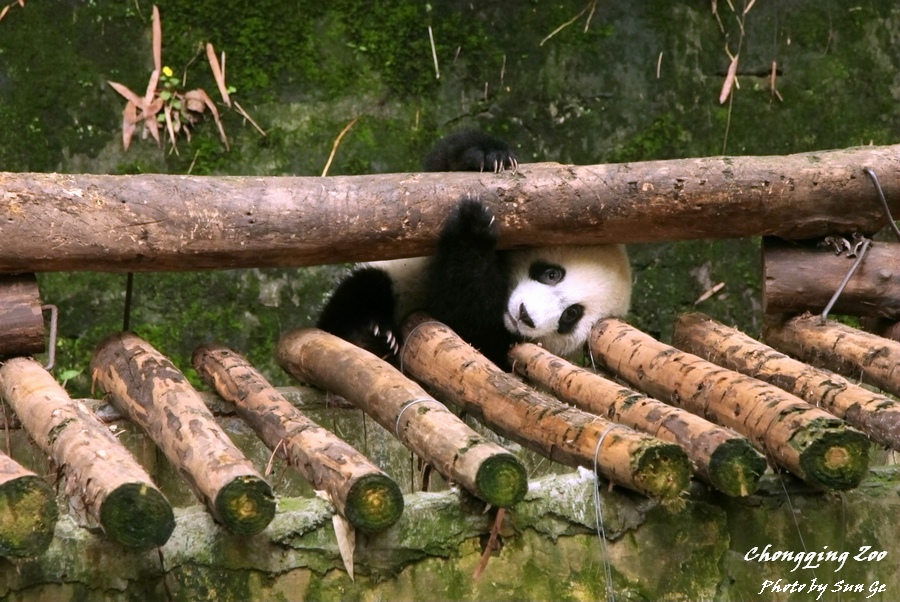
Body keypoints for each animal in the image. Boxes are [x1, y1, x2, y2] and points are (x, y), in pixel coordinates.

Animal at [316, 130, 632, 370]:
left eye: (571, 315)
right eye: (552, 274)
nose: (525, 316)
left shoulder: (500, 341)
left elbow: (464, 318)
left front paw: (472, 230)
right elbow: (437, 168)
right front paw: (489, 156)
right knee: (362, 291)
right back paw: (369, 334)